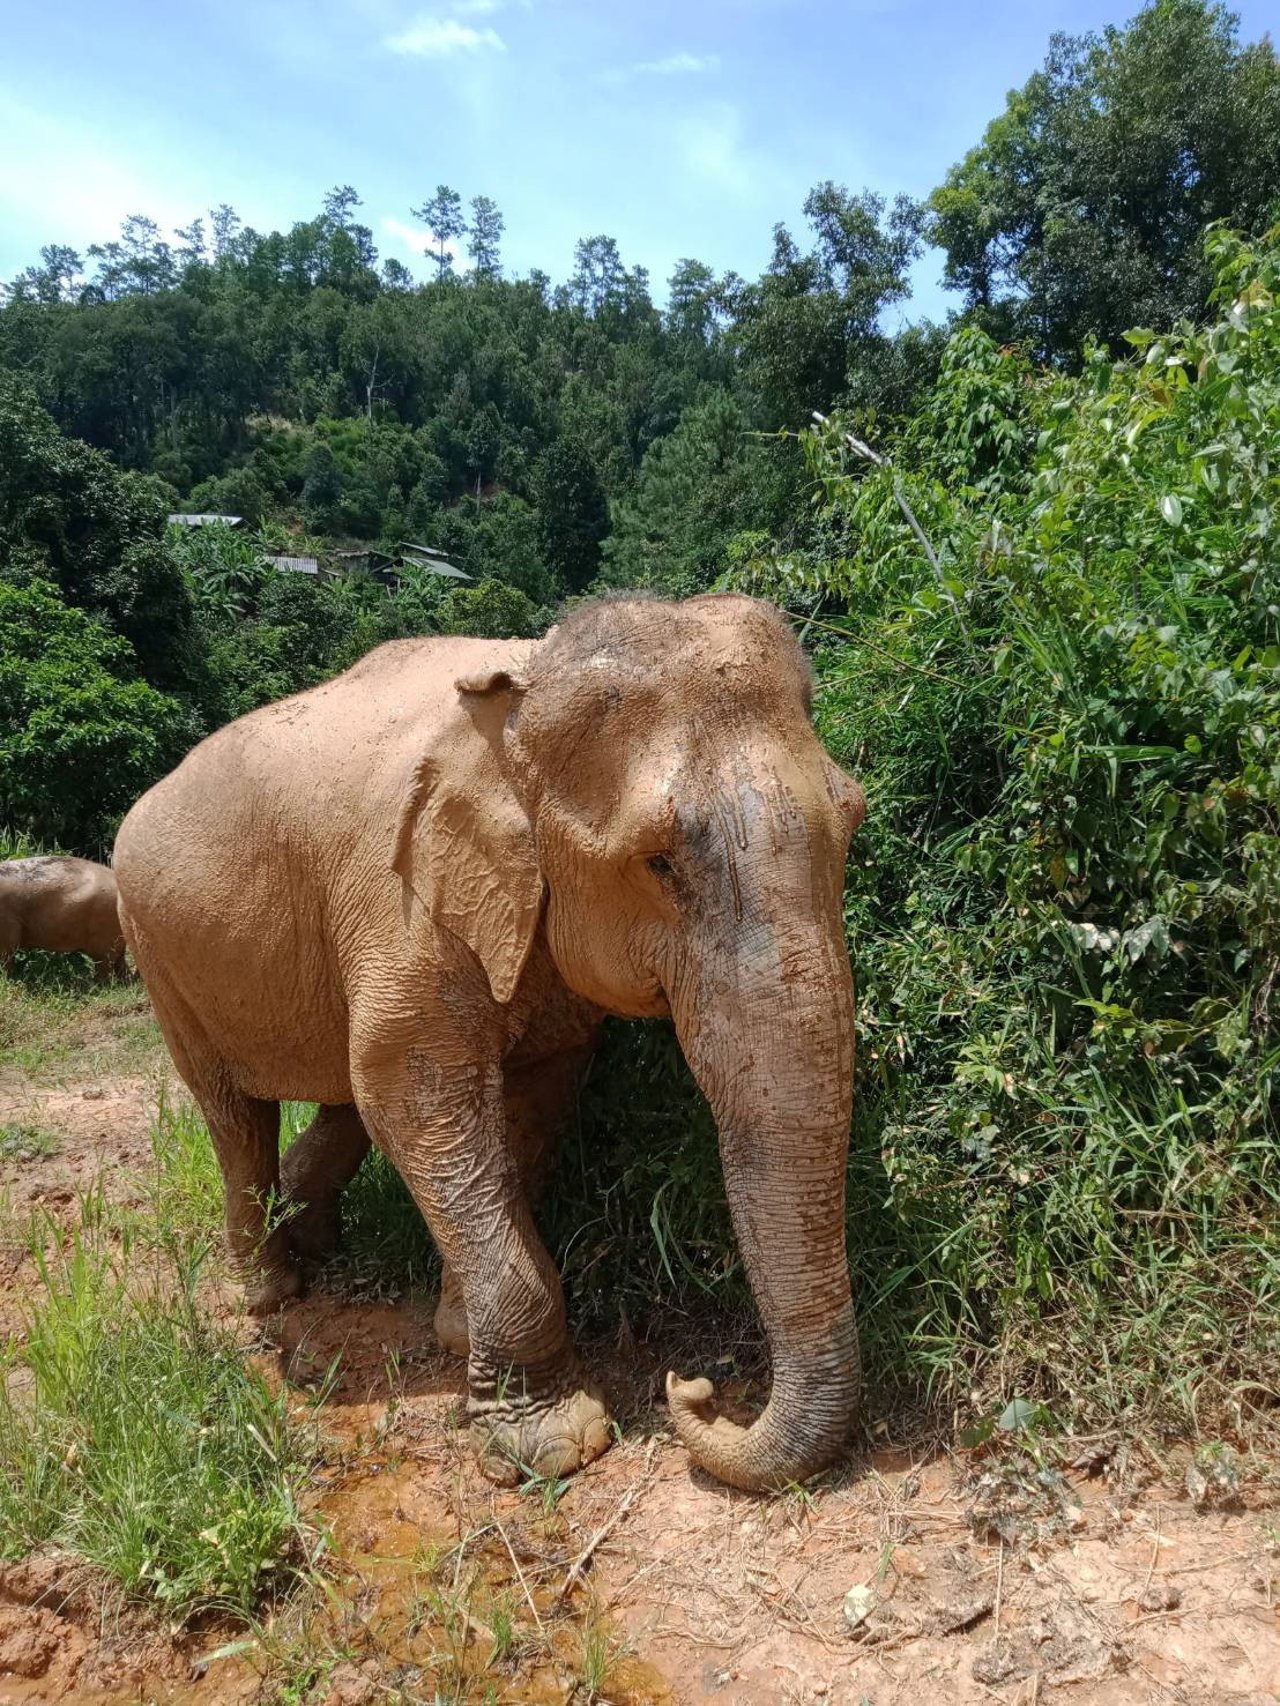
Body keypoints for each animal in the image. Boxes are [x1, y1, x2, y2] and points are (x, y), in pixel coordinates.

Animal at [0, 859, 128, 982]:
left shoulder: (7, 922)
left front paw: (7, 981)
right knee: (119, 961)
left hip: (106, 926)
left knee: (105, 962)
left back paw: (98, 984)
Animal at [115, 597, 866, 1494]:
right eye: (658, 862)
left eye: (853, 822)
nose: (695, 1387)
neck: (521, 689)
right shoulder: (404, 901)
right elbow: (408, 1088)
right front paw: (554, 1444)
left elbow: (528, 1094)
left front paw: (457, 1335)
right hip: (156, 953)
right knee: (236, 1116)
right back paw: (271, 1291)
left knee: (335, 1098)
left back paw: (315, 1238)